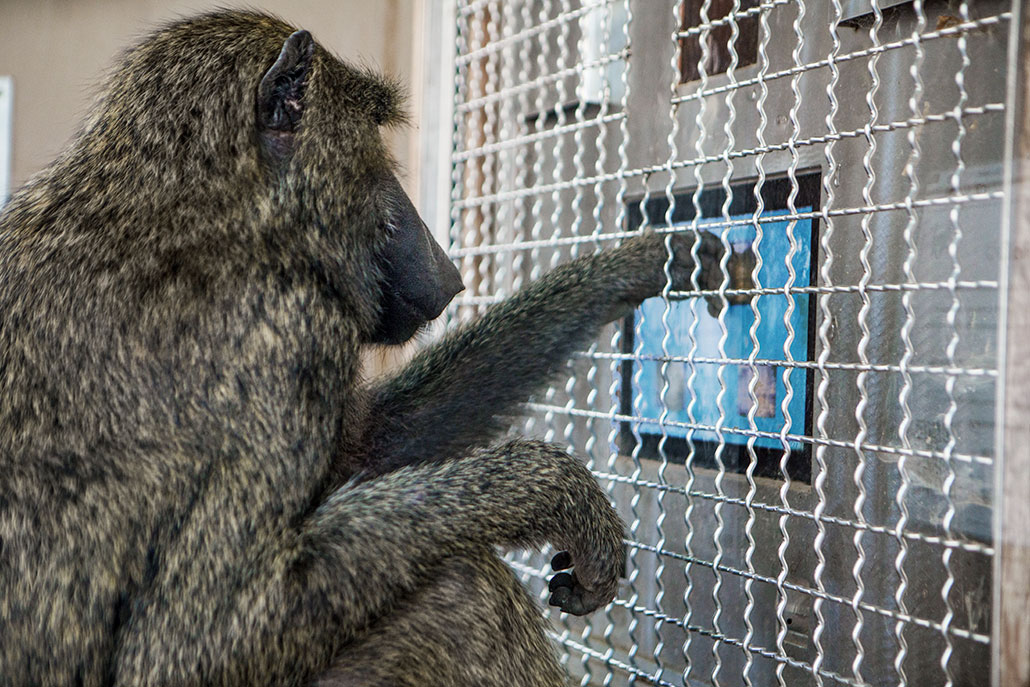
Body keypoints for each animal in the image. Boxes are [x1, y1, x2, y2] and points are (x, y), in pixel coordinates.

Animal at [0, 11, 744, 687]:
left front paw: (652, 263)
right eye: (375, 145)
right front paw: (549, 489)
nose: (445, 267)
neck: (196, 204)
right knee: (462, 593)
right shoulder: (287, 331)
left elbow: (372, 450)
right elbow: (190, 647)